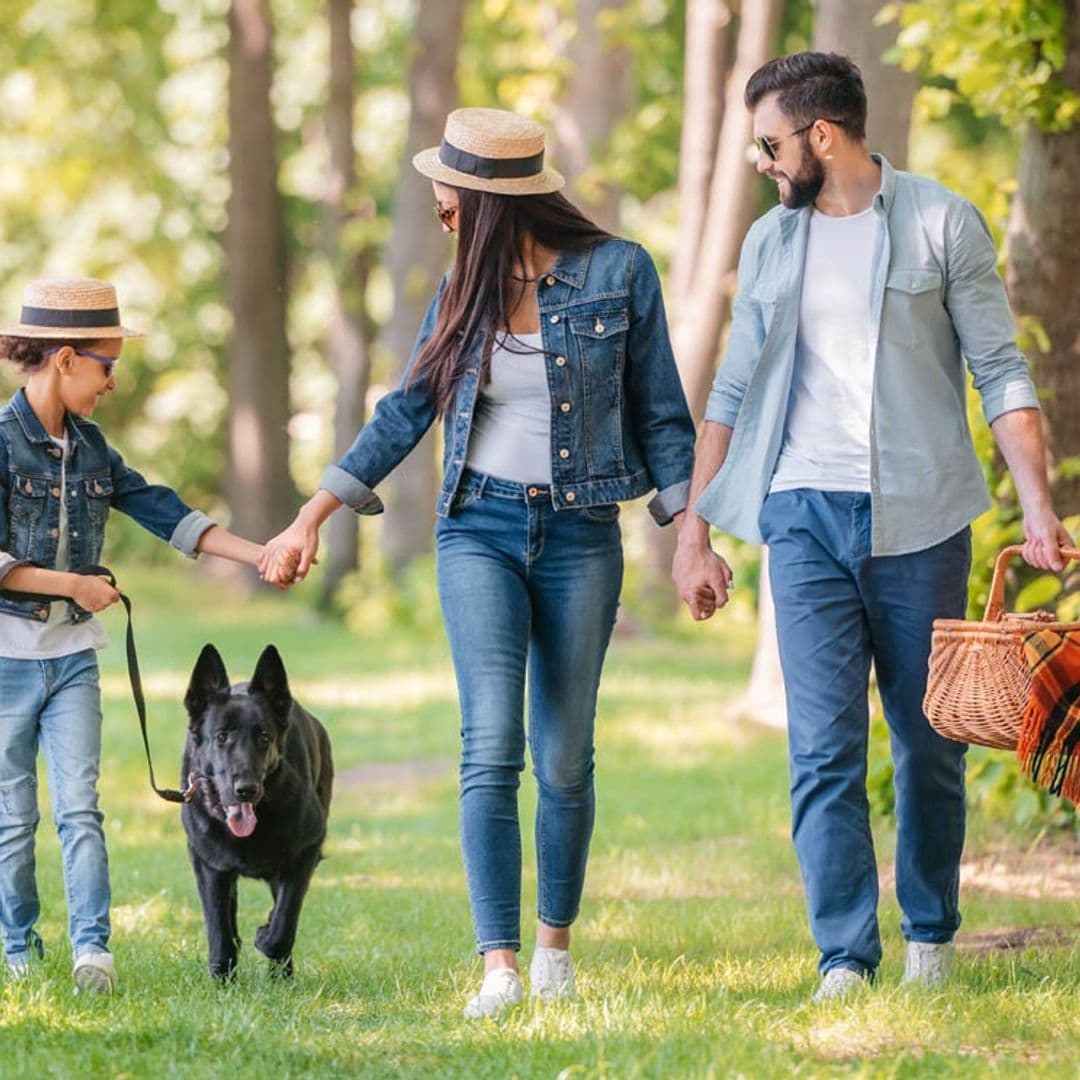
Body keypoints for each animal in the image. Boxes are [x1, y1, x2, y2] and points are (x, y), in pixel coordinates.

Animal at [181, 643, 332, 984]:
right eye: (221, 736)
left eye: (264, 737)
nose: (246, 789)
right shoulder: (208, 865)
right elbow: (218, 927)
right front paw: (222, 980)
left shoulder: (304, 854)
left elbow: (284, 922)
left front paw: (266, 939)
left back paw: (281, 975)